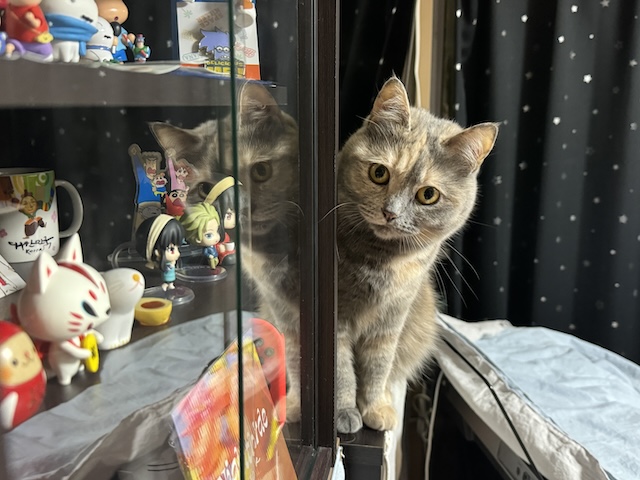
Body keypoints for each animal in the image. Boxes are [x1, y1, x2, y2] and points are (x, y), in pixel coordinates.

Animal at [335, 77, 498, 433]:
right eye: (379, 173)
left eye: (428, 195)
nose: (390, 213)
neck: (380, 262)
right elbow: (340, 368)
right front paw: (344, 412)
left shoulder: (392, 318)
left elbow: (378, 367)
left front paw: (373, 408)